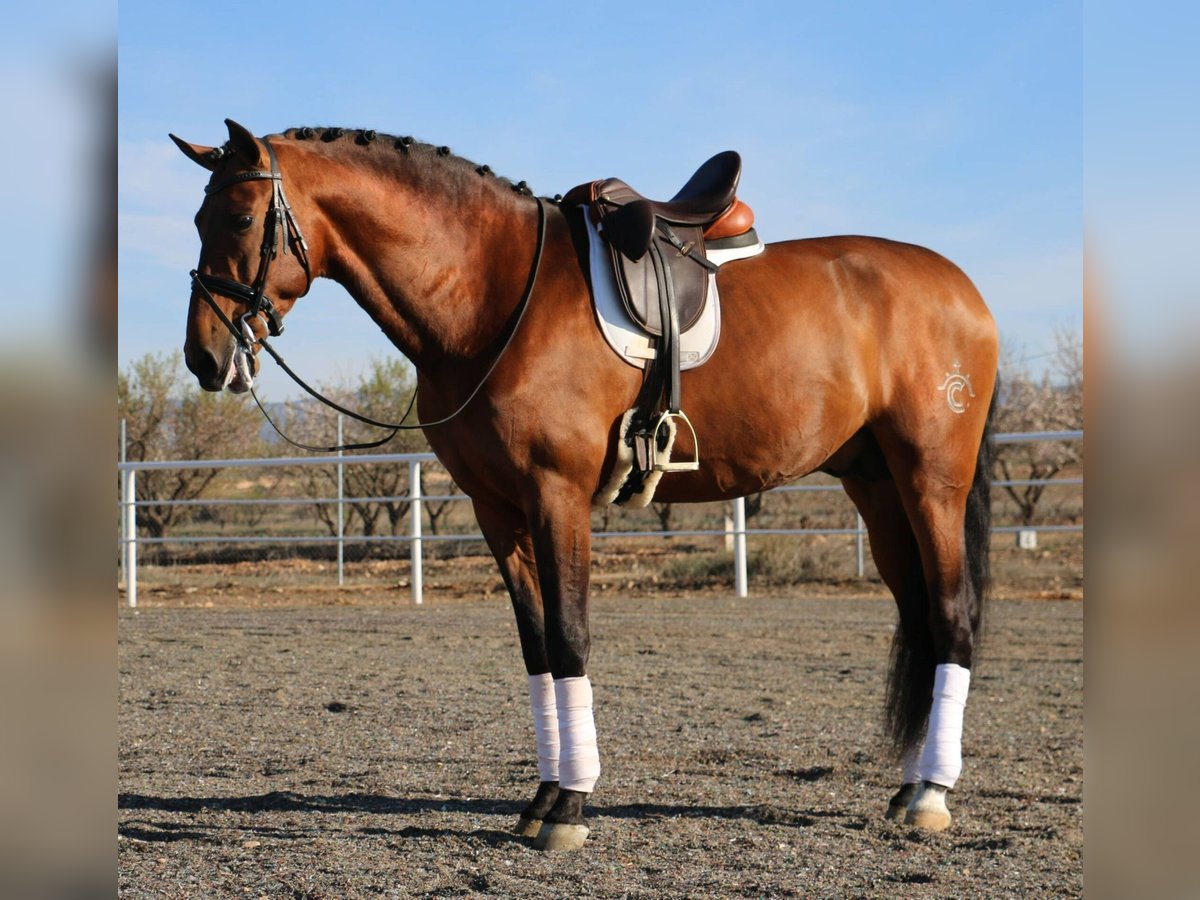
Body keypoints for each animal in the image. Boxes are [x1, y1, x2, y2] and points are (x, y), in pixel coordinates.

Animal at [171, 119, 999, 851]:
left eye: (239, 217)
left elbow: (570, 638)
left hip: (931, 481)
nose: (204, 359)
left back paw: (932, 794)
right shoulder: (496, 508)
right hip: (877, 488)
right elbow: (538, 646)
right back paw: (908, 785)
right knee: (921, 616)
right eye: (198, 218)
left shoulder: (555, 495)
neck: (491, 293)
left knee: (951, 616)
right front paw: (542, 798)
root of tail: (963, 289)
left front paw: (569, 807)